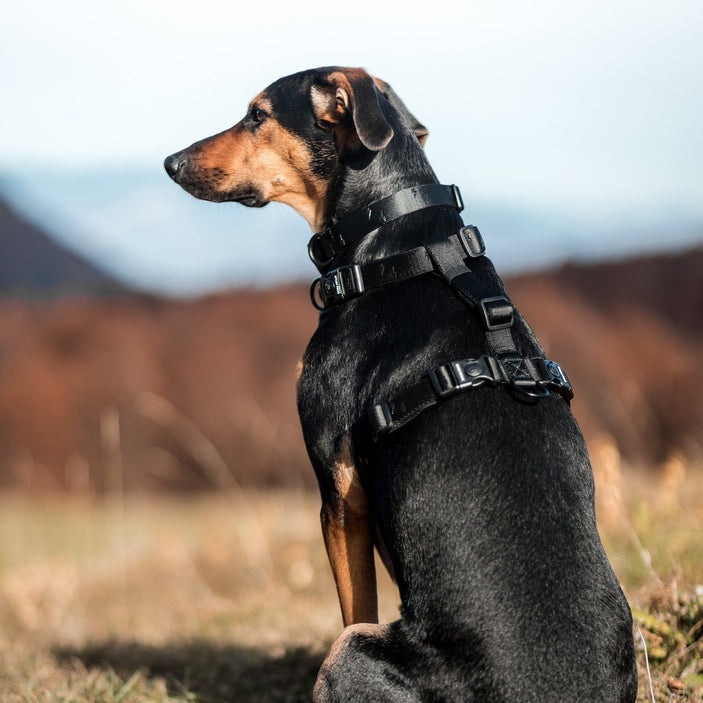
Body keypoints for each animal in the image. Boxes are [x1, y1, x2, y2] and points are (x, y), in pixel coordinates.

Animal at [165, 67, 640, 703]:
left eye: (258, 115)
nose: (170, 163)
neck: (393, 239)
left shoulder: (339, 491)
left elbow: (354, 601)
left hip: (350, 651)